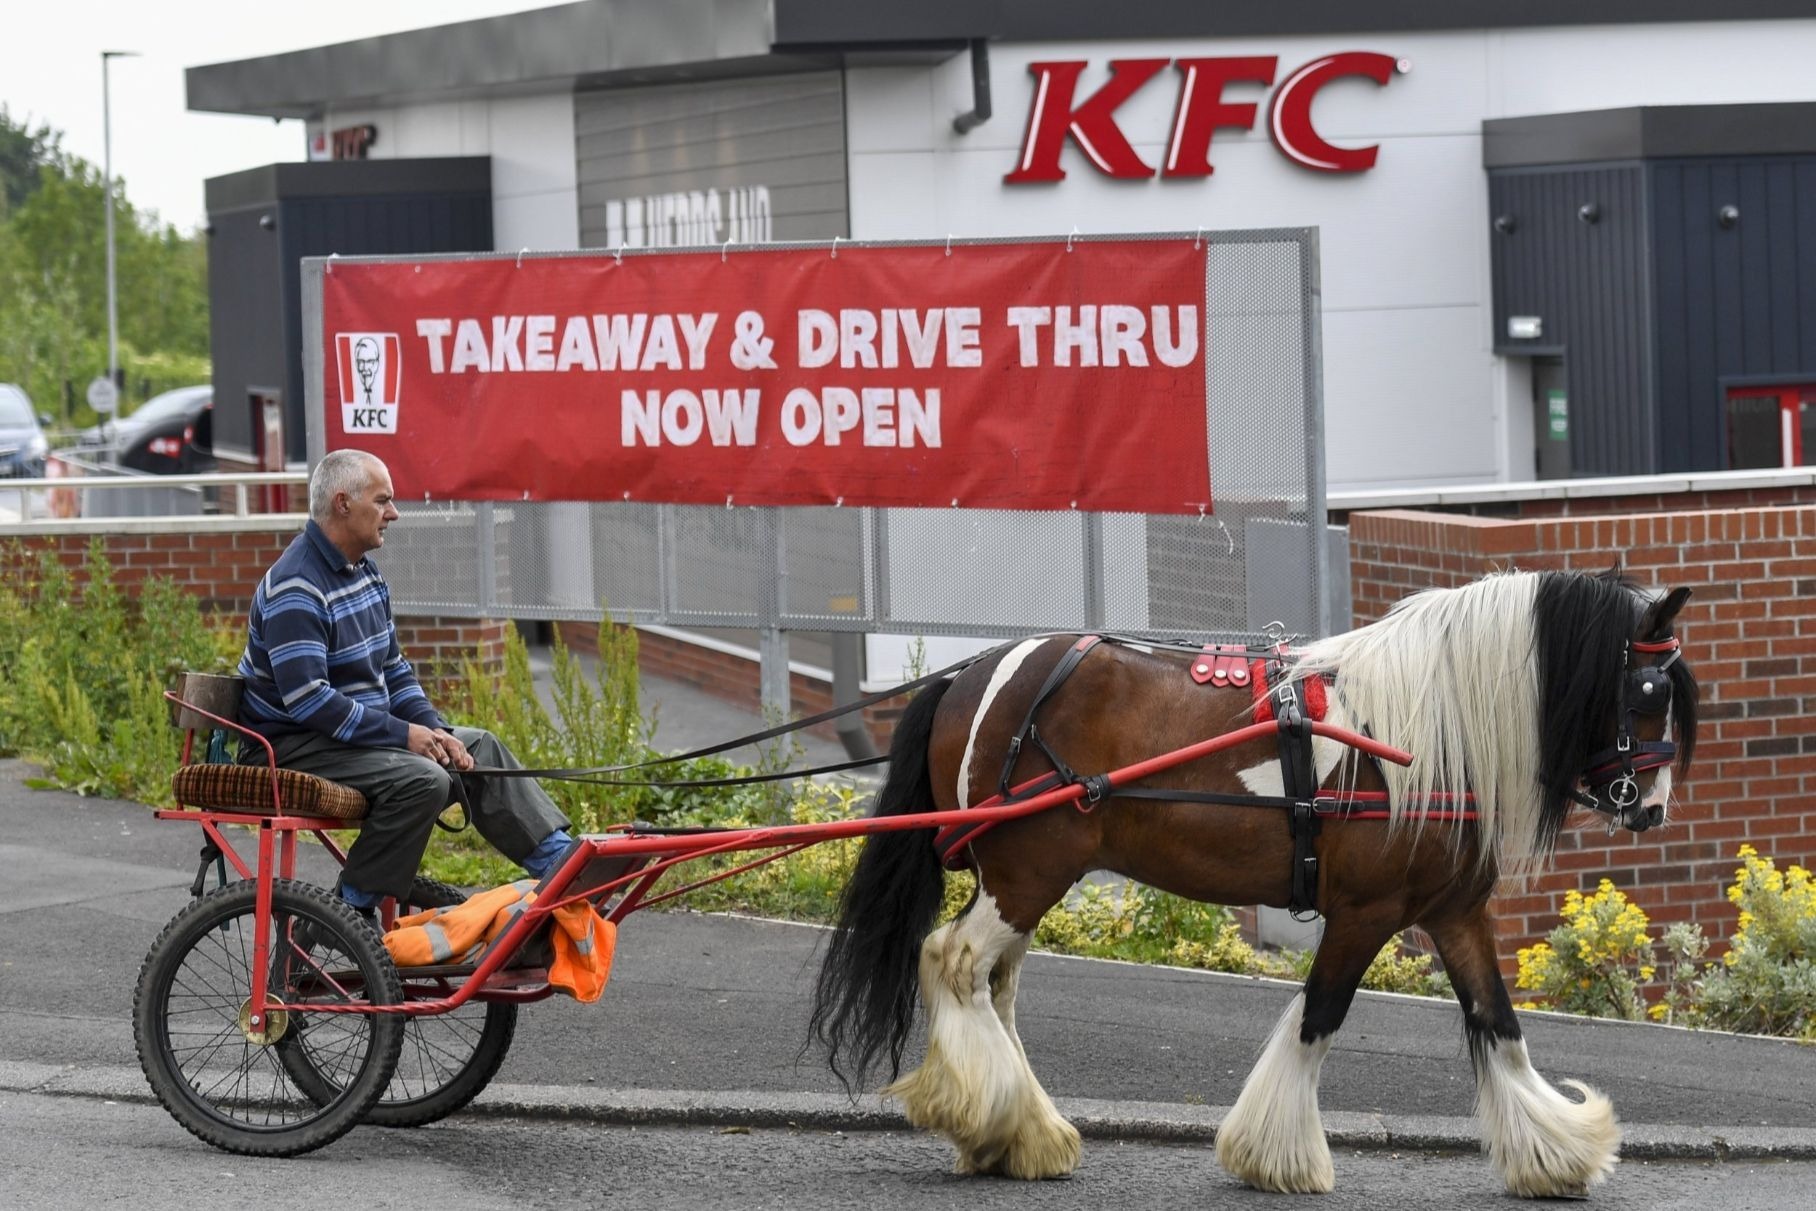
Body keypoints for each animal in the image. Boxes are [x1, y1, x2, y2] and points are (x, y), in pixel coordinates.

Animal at [809, 573, 1685, 1198]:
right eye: (1649, 691)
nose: (1651, 805)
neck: (1420, 730)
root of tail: (972, 675)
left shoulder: (1453, 910)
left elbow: (1497, 1022)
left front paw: (1556, 1152)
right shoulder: (1365, 911)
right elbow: (1319, 1016)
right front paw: (1277, 1154)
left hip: (1021, 878)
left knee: (993, 982)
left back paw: (1020, 1131)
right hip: (1029, 873)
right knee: (953, 961)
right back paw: (990, 1114)